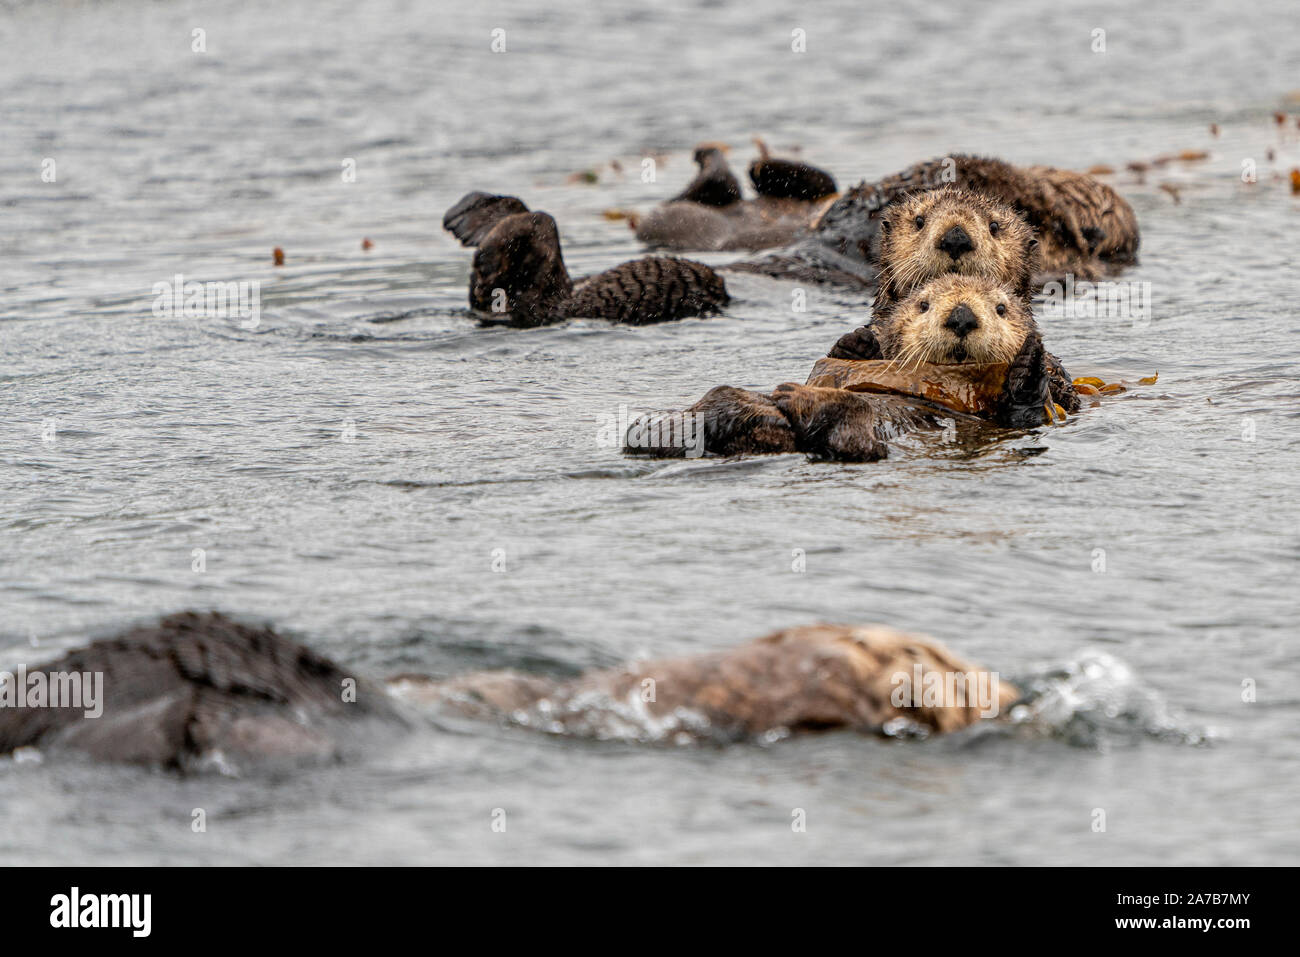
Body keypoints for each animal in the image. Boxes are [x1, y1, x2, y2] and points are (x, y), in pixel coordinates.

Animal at [624, 273, 1071, 462]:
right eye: (924, 305)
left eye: (1001, 308)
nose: (961, 316)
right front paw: (858, 342)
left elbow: (1028, 407)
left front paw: (1031, 357)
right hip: (674, 422)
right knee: (652, 430)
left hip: (858, 433)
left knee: (855, 440)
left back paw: (797, 397)